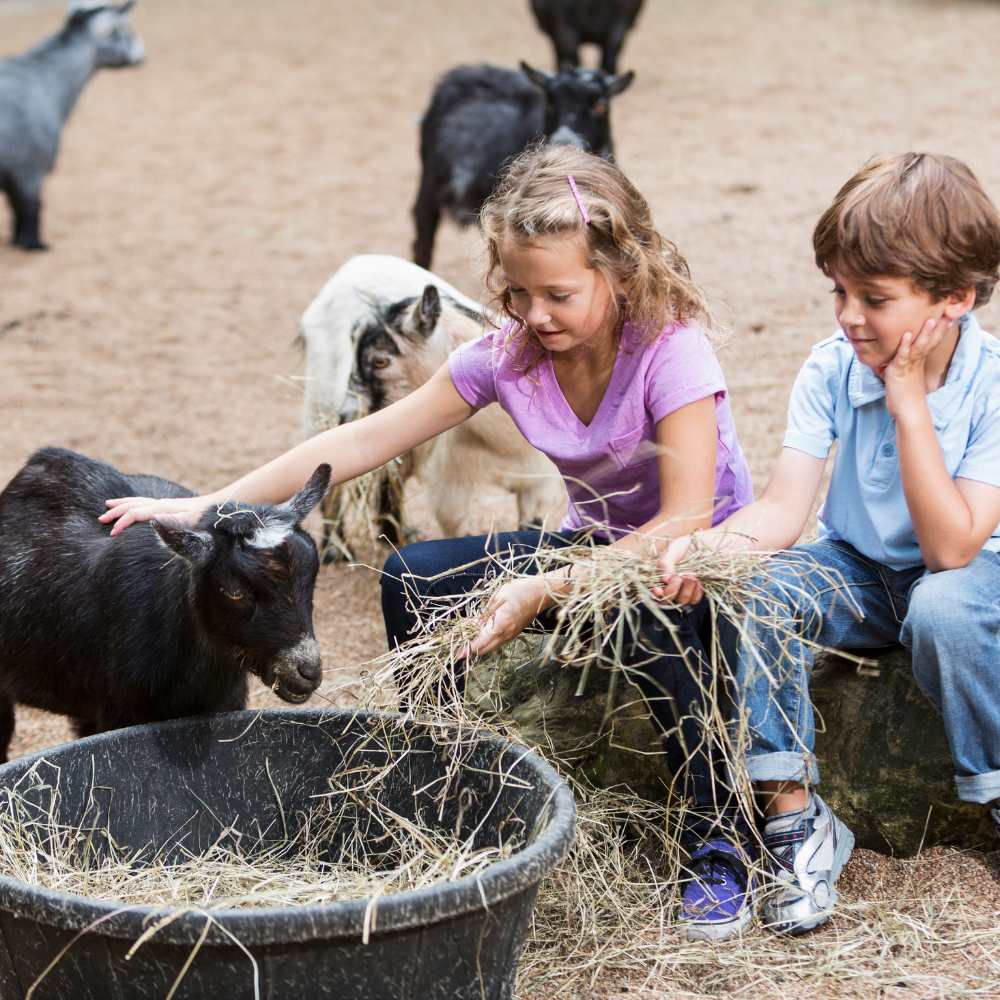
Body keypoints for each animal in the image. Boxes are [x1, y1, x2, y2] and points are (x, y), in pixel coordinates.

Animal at [0, 1, 145, 250]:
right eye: (124, 31)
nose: (142, 53)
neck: (45, 79)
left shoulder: (14, 177)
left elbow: (17, 212)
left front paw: (15, 242)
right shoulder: (30, 171)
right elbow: (31, 211)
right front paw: (35, 245)